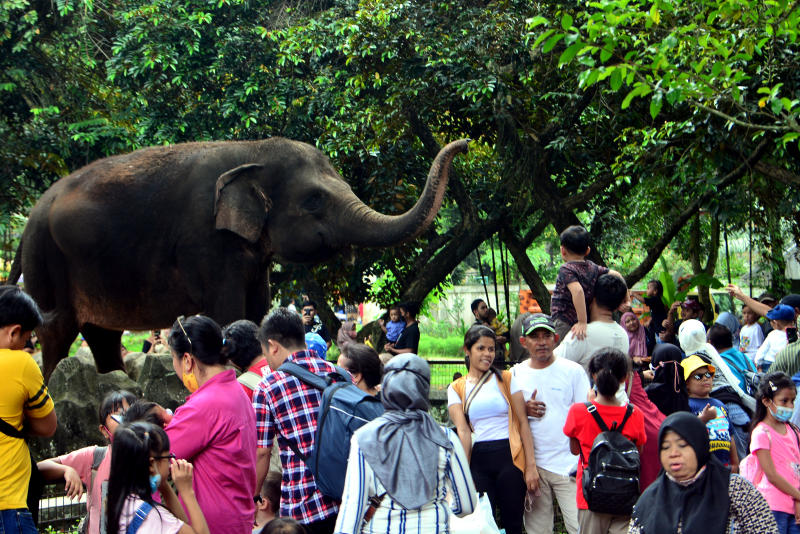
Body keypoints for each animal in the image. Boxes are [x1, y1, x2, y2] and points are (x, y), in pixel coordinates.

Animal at [7, 138, 468, 382]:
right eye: (314, 200)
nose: (463, 145)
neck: (251, 150)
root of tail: (29, 219)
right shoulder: (206, 240)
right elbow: (227, 309)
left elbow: (257, 307)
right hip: (47, 258)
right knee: (57, 331)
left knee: (101, 334)